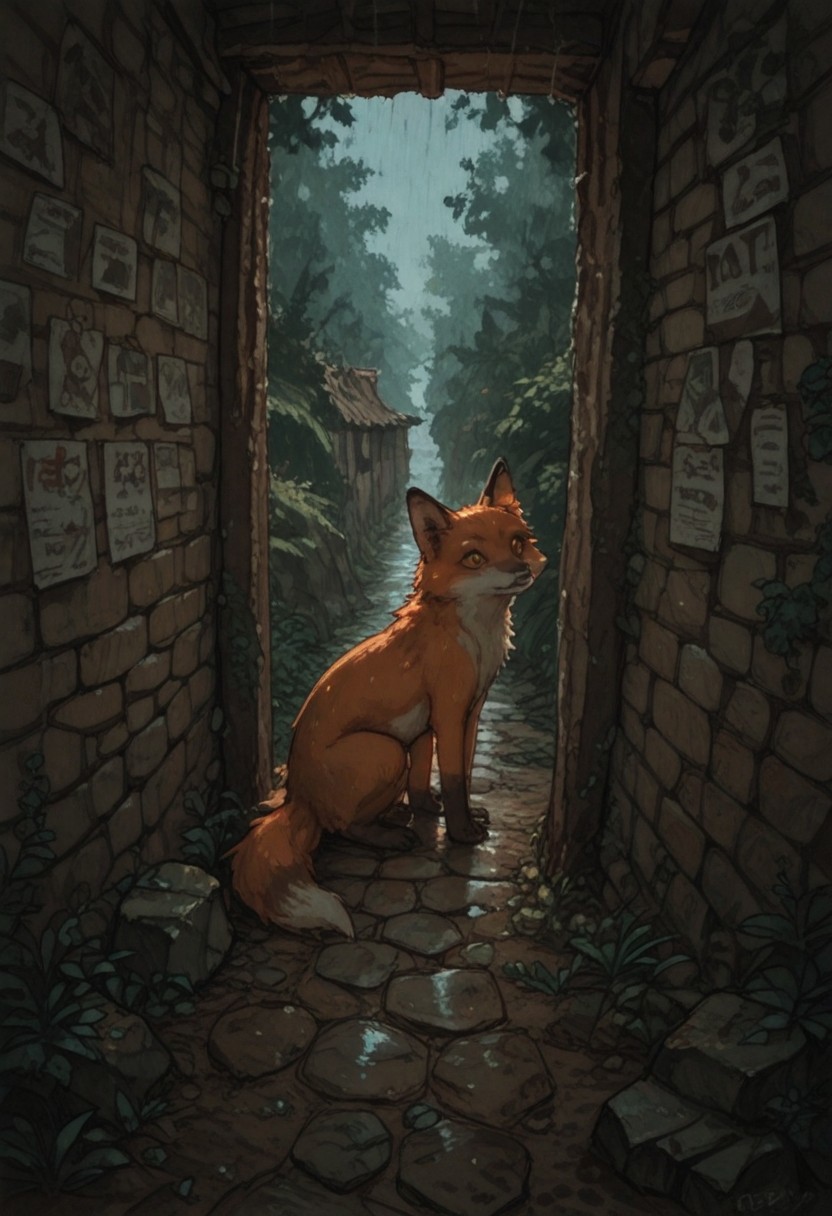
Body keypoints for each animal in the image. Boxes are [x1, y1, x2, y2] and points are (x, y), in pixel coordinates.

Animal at [228, 458, 546, 937]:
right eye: (474, 557)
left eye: (517, 542)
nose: (520, 570)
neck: (472, 637)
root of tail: (296, 795)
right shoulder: (448, 714)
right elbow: (454, 779)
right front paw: (461, 832)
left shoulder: (462, 716)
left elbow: (444, 774)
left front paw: (432, 808)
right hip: (385, 751)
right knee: (340, 827)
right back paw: (389, 834)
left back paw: (393, 816)